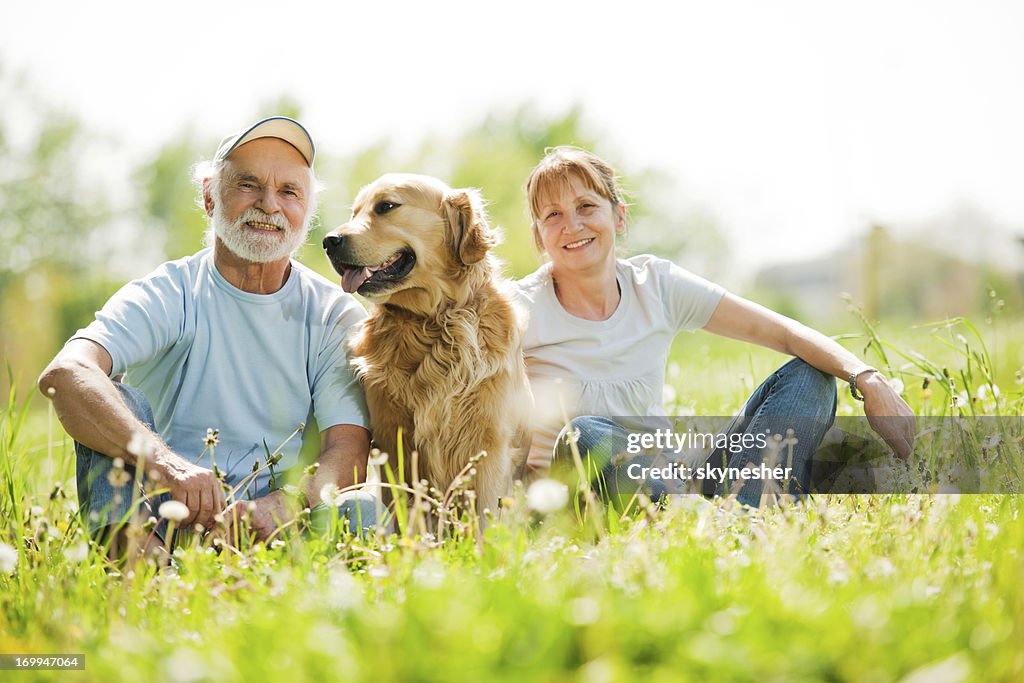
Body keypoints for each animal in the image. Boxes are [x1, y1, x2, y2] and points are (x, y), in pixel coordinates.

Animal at [323, 174, 532, 520]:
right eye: (355, 212)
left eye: (386, 206)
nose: (329, 241)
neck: (433, 322)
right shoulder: (393, 443)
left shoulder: (491, 446)